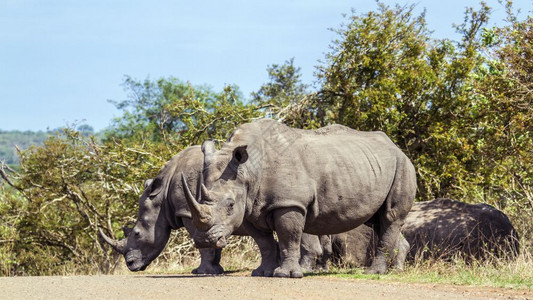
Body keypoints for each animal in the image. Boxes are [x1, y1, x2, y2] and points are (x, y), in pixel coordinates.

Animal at [99, 145, 324, 274]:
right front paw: (215, 269)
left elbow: (204, 245)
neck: (161, 196)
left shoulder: (187, 210)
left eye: (137, 233)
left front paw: (202, 272)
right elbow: (213, 243)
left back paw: (304, 270)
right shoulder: (206, 212)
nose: (130, 265)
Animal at [183, 119, 416, 276]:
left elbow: (289, 237)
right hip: (370, 167)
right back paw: (395, 270)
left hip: (402, 166)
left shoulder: (289, 204)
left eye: (230, 205)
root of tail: (397, 147)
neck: (249, 170)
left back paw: (374, 273)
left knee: (390, 216)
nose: (204, 240)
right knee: (378, 221)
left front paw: (285, 275)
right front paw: (262, 273)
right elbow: (264, 243)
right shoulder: (249, 208)